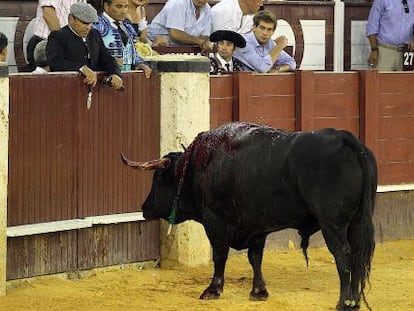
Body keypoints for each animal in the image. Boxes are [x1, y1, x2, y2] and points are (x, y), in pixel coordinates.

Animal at [121, 122, 376, 311]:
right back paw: (354, 302)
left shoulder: (215, 221)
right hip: (357, 222)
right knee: (356, 256)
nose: (144, 208)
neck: (196, 166)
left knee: (342, 254)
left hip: (332, 224)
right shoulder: (257, 226)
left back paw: (344, 302)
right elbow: (256, 258)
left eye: (157, 179)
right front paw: (259, 291)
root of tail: (345, 138)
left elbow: (220, 256)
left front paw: (213, 289)